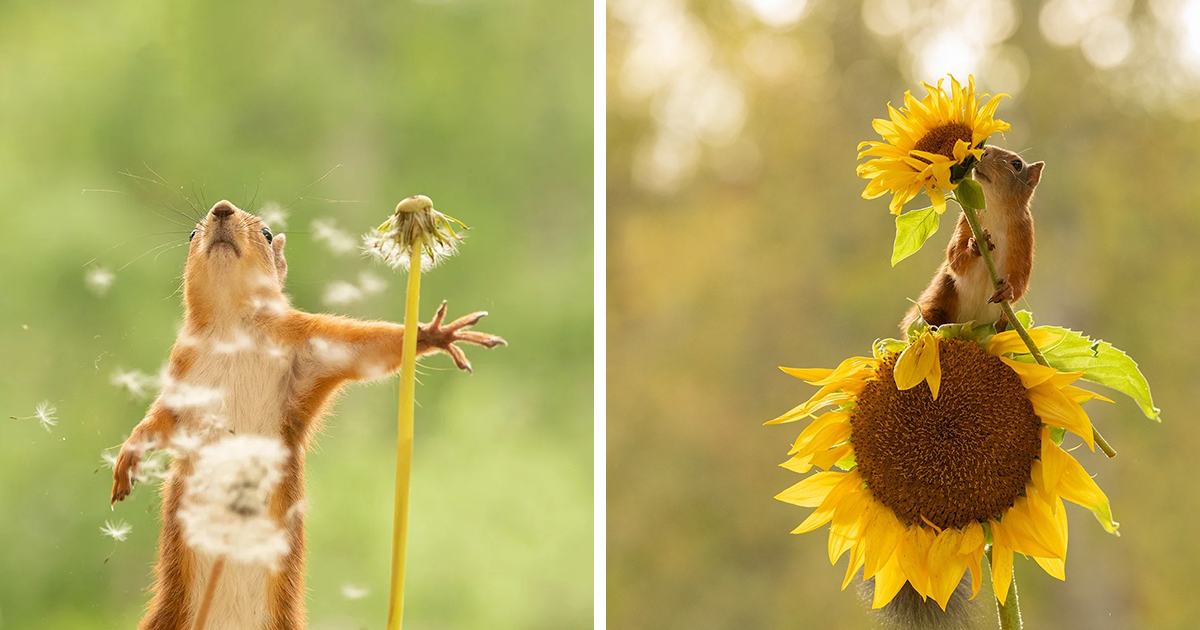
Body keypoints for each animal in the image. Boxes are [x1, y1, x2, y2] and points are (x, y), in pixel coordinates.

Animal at [109, 200, 505, 630]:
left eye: (267, 233)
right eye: (191, 234)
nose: (222, 208)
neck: (233, 328)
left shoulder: (310, 344)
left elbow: (369, 349)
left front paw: (437, 334)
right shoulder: (182, 375)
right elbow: (160, 420)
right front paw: (128, 456)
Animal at [900, 146, 1044, 335]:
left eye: (1017, 164)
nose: (984, 150)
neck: (994, 209)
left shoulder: (1024, 235)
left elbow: (1021, 277)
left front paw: (1008, 290)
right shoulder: (966, 221)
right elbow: (954, 259)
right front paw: (975, 246)